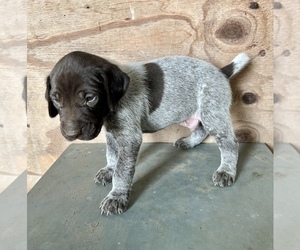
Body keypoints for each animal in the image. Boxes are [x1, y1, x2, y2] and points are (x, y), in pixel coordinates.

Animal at [45, 50, 250, 215]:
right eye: (56, 99)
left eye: (90, 98)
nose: (71, 134)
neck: (113, 105)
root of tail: (220, 71)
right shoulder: (112, 133)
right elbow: (111, 154)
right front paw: (109, 169)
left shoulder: (129, 138)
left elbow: (122, 170)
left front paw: (116, 196)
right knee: (200, 130)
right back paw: (189, 142)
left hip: (212, 112)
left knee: (229, 143)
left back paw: (226, 171)